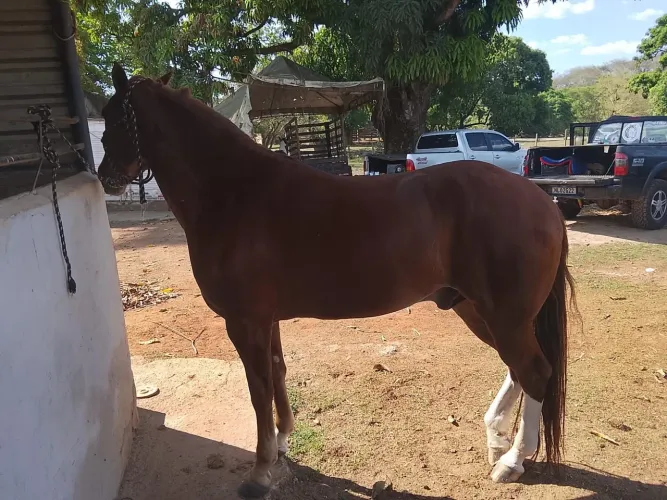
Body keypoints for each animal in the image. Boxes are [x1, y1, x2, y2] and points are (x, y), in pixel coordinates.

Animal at [98, 63, 577, 498]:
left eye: (112, 120)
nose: (105, 176)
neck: (234, 194)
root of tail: (541, 201)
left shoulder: (244, 322)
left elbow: (258, 390)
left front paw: (261, 470)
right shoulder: (265, 320)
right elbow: (278, 373)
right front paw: (283, 442)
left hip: (504, 316)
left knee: (535, 371)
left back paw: (513, 461)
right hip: (477, 309)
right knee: (517, 369)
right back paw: (496, 435)